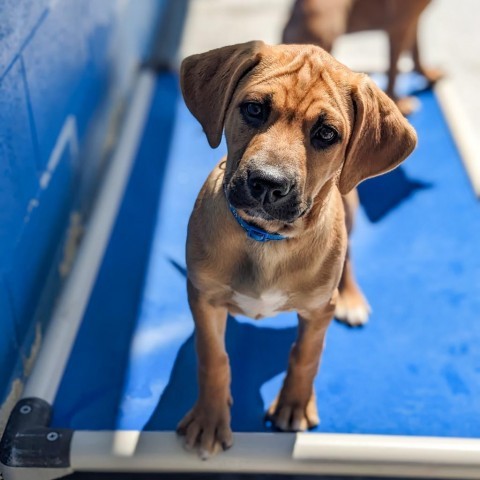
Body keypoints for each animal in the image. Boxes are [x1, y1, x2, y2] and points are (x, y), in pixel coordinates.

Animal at [176, 41, 416, 458]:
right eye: (254, 109)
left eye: (326, 133)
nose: (267, 184)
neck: (266, 241)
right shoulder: (203, 298)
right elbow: (213, 357)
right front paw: (209, 418)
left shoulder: (318, 310)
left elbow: (306, 355)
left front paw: (295, 405)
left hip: (349, 207)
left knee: (348, 256)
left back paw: (351, 297)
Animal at [284, 0, 444, 114]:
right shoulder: (397, 27)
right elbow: (393, 71)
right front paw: (397, 102)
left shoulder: (413, 21)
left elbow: (417, 50)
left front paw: (426, 74)